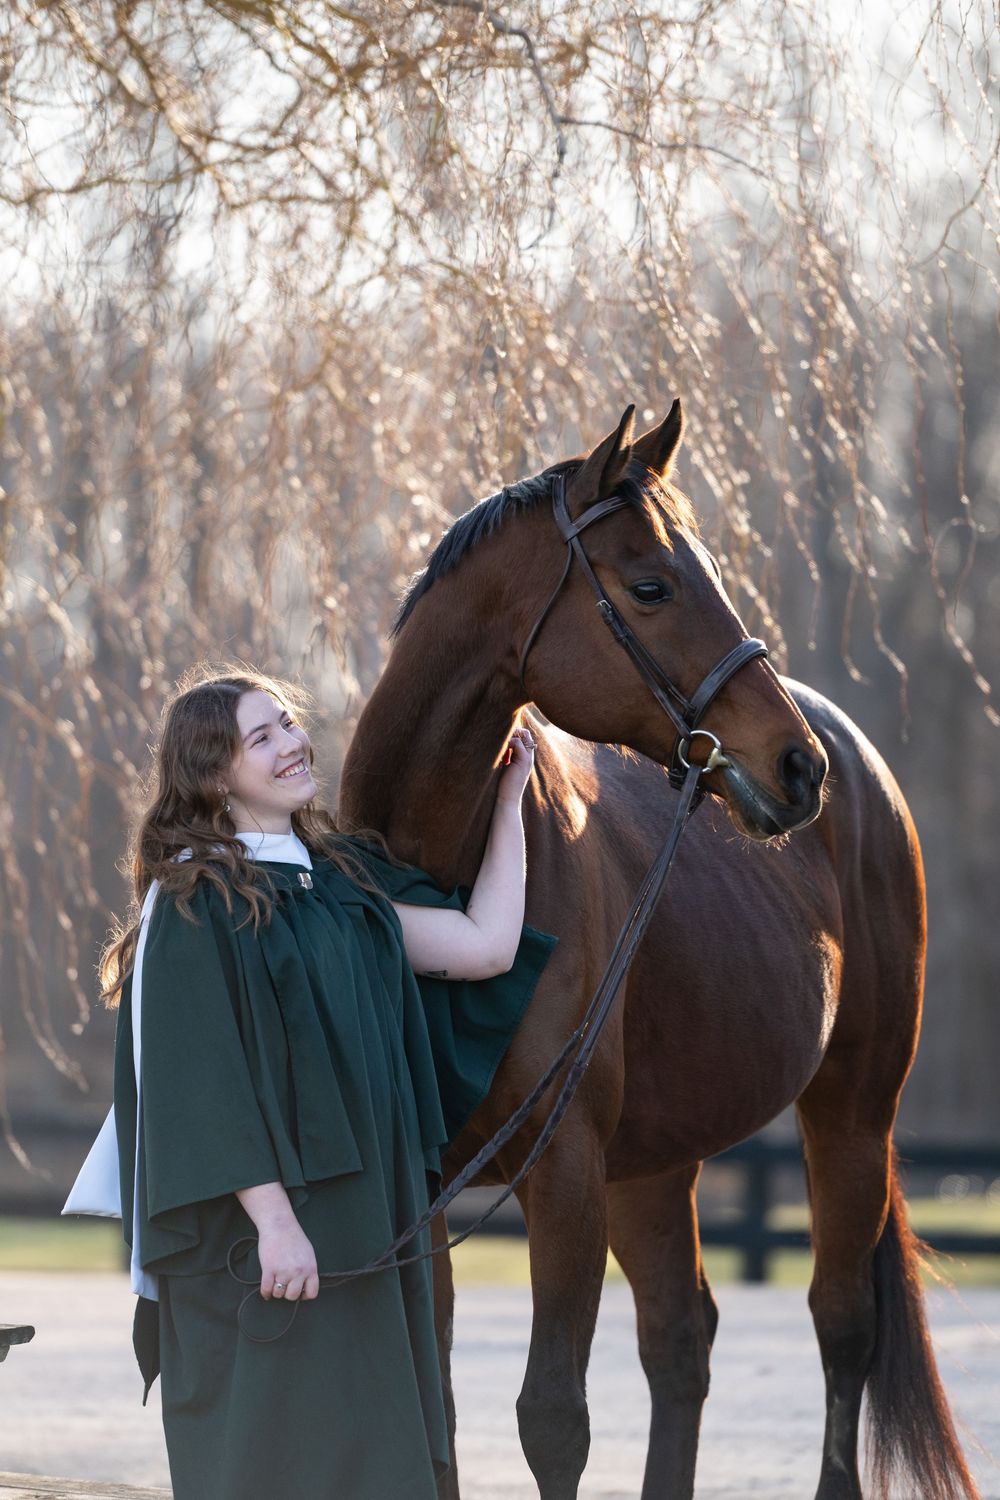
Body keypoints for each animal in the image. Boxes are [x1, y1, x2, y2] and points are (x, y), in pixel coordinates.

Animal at [338, 403, 977, 1500]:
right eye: (650, 585)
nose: (795, 766)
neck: (449, 885)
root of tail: (865, 766)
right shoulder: (422, 1185)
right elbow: (433, 1414)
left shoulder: (563, 1174)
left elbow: (553, 1420)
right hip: (655, 1164)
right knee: (683, 1340)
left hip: (850, 1115)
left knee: (841, 1327)